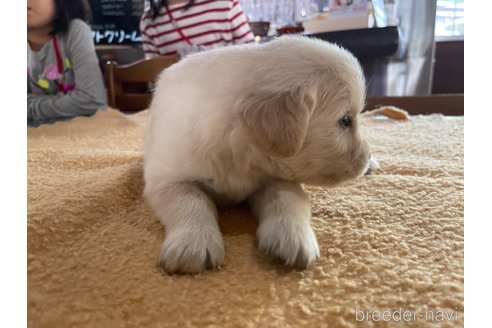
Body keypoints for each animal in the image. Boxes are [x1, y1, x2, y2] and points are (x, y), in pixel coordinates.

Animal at [144, 35, 370, 274]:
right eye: (345, 121)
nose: (367, 156)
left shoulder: (277, 176)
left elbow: (287, 199)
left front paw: (292, 237)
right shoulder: (168, 179)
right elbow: (190, 201)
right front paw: (193, 243)